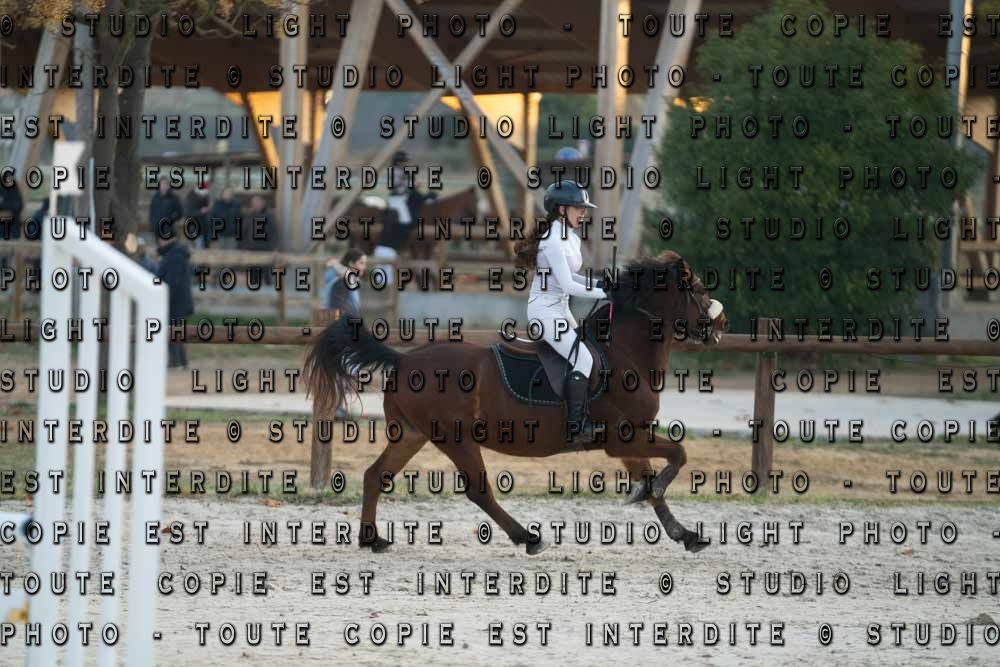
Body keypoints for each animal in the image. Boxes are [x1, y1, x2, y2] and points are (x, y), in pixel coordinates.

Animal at [304, 249, 728, 555]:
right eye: (697, 288)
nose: (721, 323)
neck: (624, 353)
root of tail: (404, 359)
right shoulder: (622, 437)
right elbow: (677, 455)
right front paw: (654, 496)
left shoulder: (629, 439)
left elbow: (652, 476)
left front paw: (685, 533)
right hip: (455, 438)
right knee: (478, 490)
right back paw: (528, 537)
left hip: (411, 434)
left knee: (376, 475)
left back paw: (371, 539)